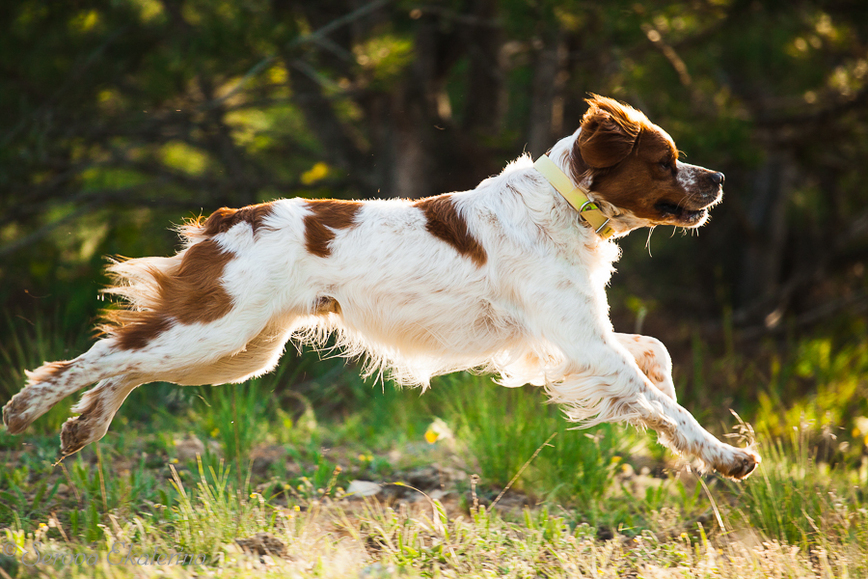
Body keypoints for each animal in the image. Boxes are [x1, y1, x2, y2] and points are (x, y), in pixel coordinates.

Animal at [0, 95, 760, 480]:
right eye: (664, 160)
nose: (720, 178)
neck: (564, 206)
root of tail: (229, 217)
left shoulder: (567, 339)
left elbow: (656, 354)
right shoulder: (582, 343)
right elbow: (662, 404)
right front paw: (728, 457)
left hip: (240, 350)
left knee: (126, 361)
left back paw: (82, 425)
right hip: (218, 330)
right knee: (99, 355)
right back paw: (26, 410)